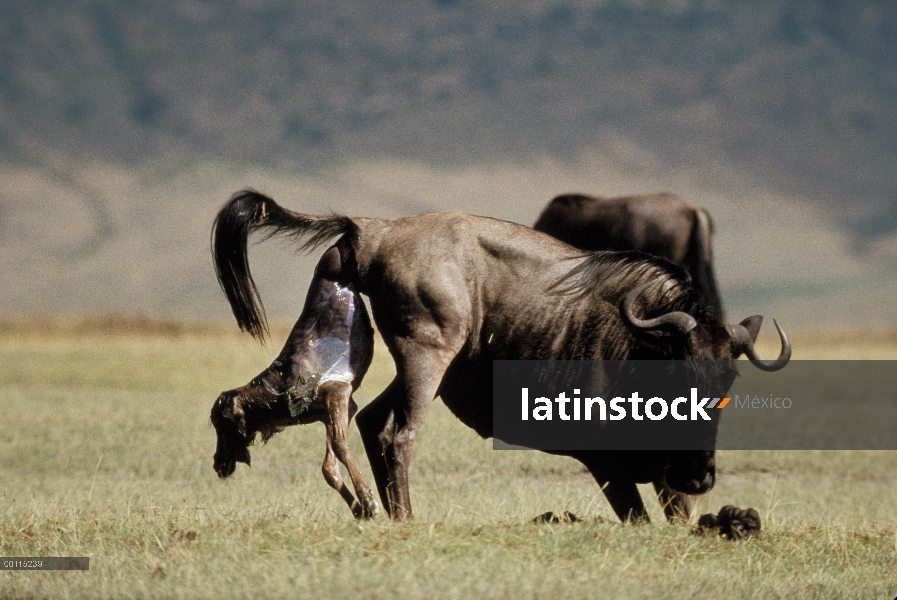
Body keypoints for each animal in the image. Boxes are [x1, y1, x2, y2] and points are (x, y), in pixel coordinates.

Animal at [210, 246, 378, 516]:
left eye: (222, 424)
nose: (218, 464)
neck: (279, 386)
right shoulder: (335, 410)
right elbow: (329, 467)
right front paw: (359, 508)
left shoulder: (338, 392)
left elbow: (340, 445)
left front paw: (367, 498)